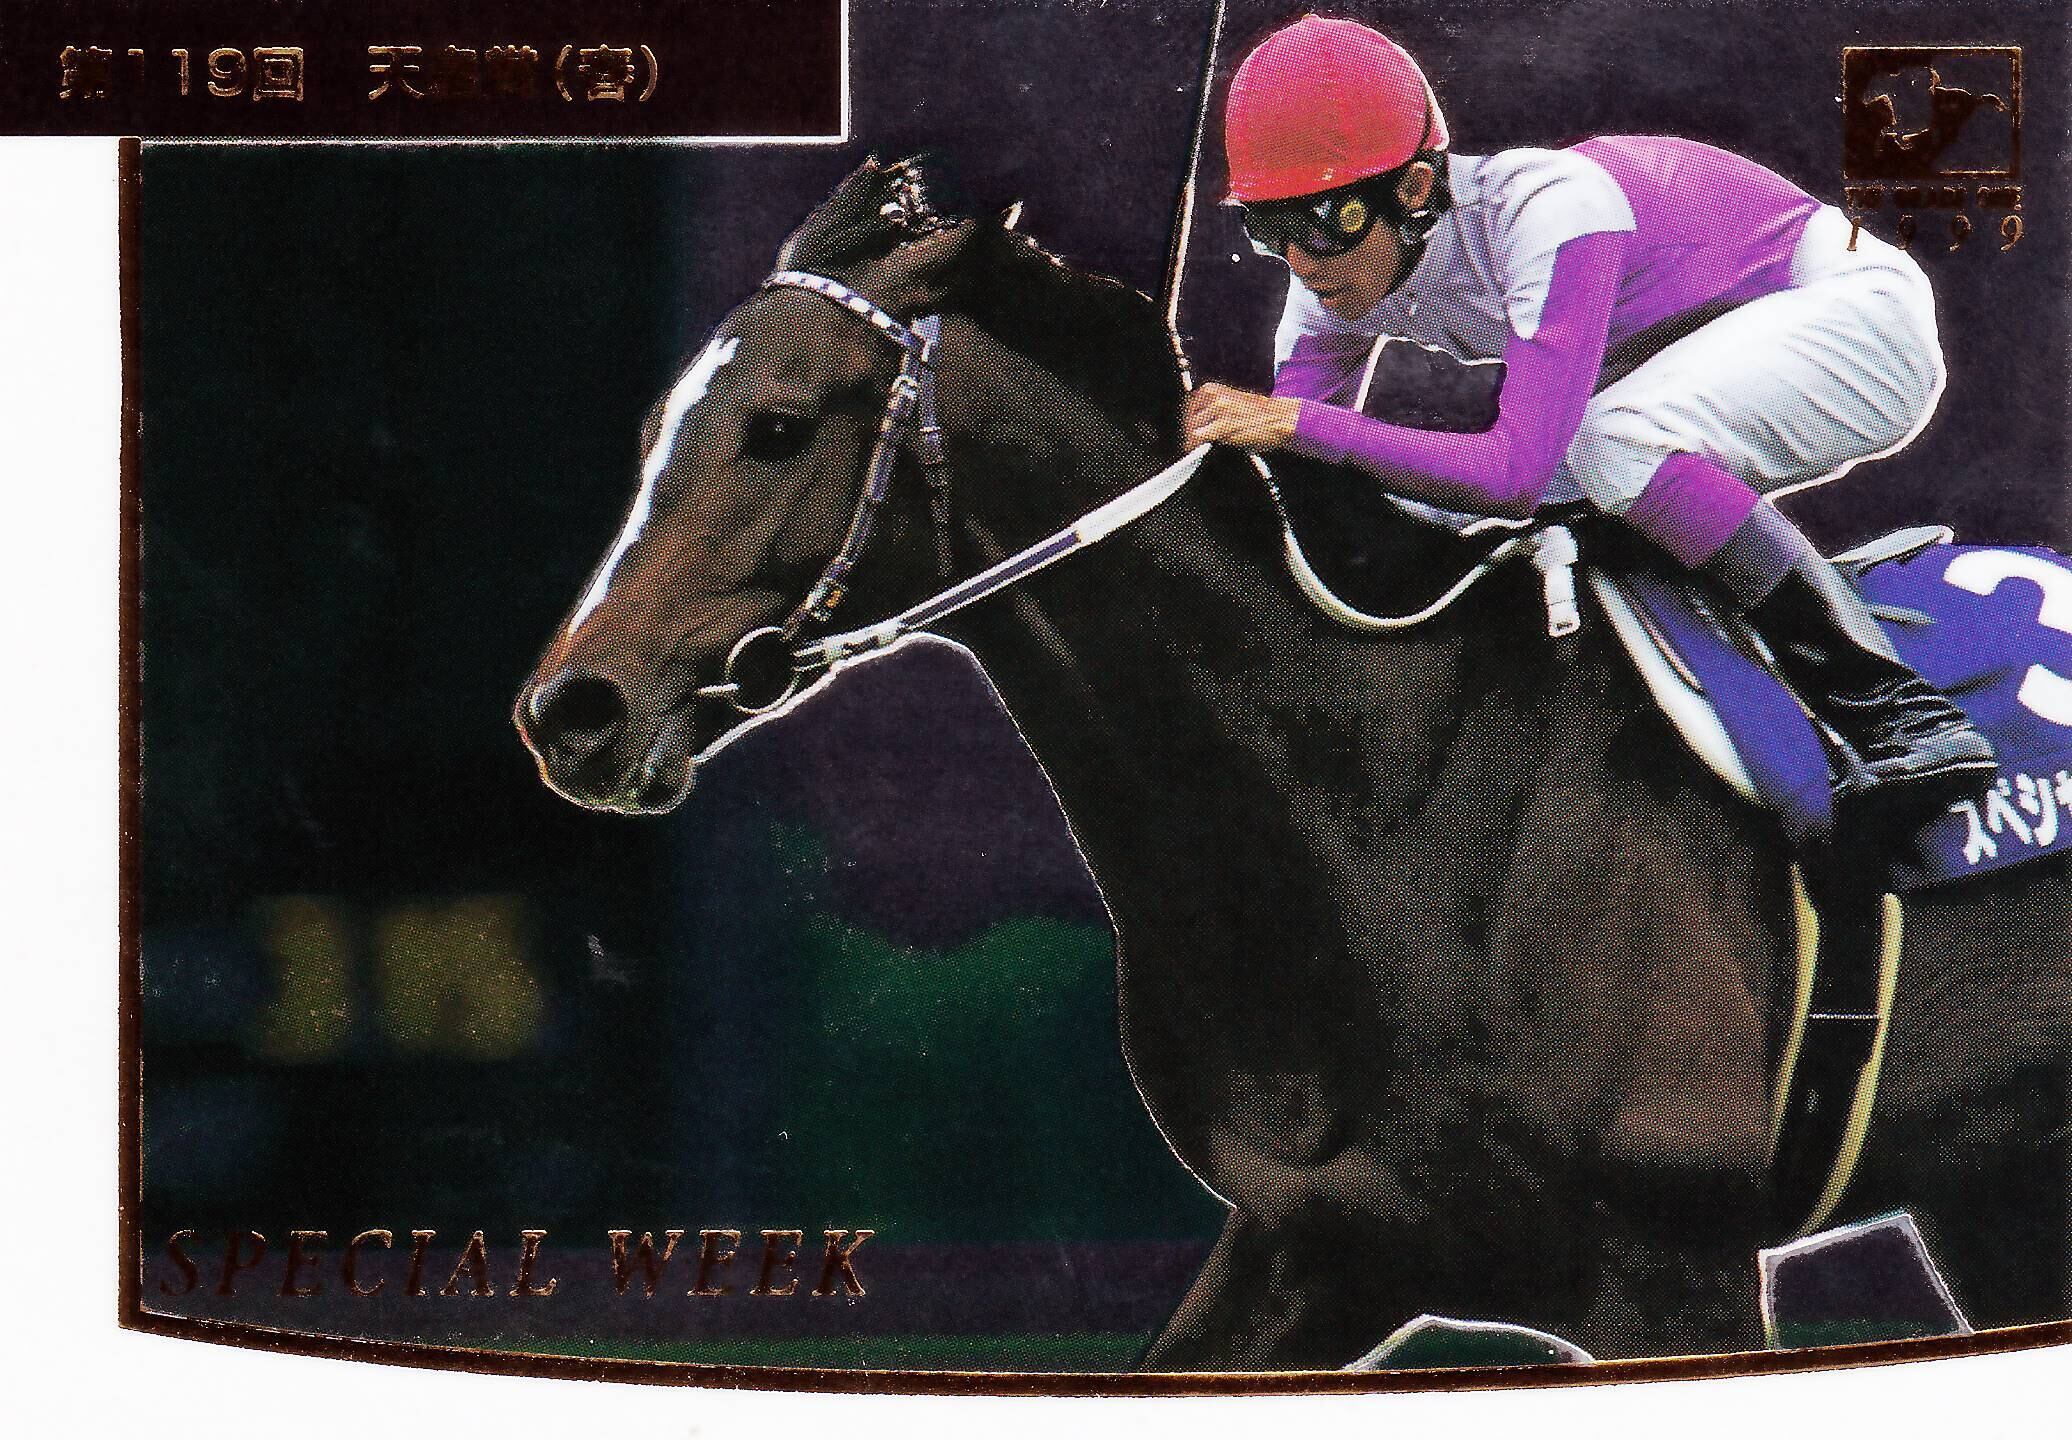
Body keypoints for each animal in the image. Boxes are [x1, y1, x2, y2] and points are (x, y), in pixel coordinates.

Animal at [513, 157, 2070, 1368]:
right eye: (655, 432)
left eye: (777, 427)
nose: (571, 712)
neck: (1386, 807)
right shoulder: (1315, 1245)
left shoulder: (1669, 1266)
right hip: (1995, 1187)